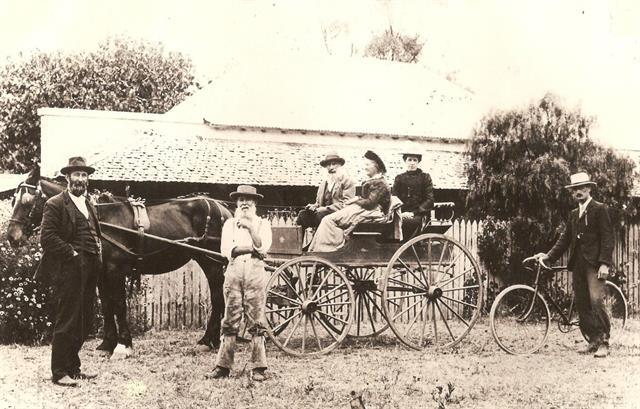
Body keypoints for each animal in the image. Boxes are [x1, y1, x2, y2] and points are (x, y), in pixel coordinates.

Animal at [5, 166, 232, 354]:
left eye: (26, 201)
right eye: (13, 200)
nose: (12, 237)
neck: (103, 219)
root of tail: (222, 207)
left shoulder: (116, 270)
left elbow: (119, 304)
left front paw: (123, 345)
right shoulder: (101, 273)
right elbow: (107, 305)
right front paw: (107, 344)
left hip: (211, 262)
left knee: (217, 297)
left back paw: (208, 340)